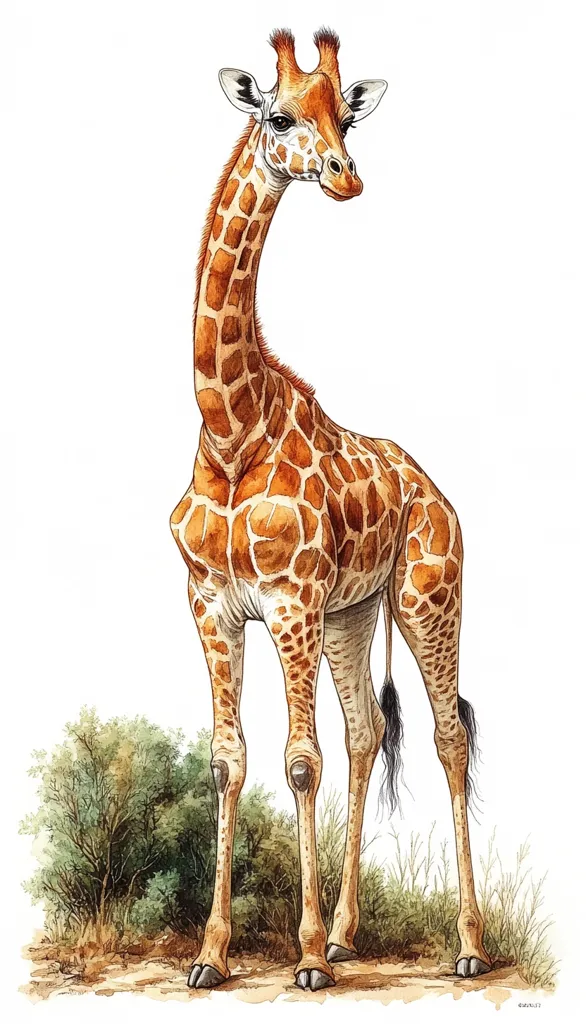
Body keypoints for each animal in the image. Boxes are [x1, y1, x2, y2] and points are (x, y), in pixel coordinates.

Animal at [171, 27, 491, 992]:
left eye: (345, 117)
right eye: (279, 116)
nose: (346, 176)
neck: (228, 426)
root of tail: (437, 494)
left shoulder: (290, 601)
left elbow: (298, 762)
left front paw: (306, 956)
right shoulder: (213, 603)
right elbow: (231, 762)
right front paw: (211, 955)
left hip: (426, 597)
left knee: (447, 737)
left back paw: (466, 945)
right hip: (356, 614)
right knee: (365, 734)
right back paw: (352, 932)